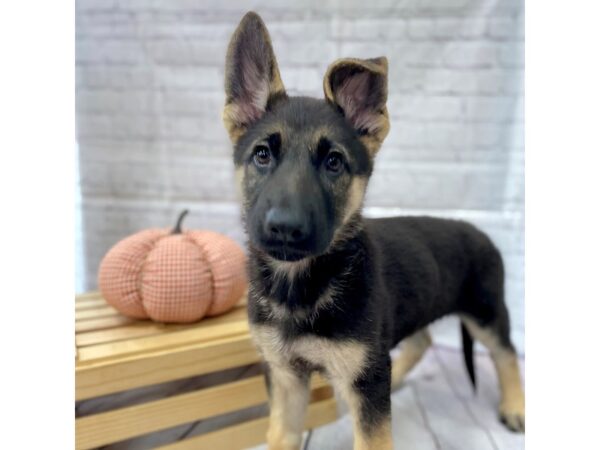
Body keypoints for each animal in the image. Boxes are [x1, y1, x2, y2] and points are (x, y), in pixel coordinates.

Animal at [221, 12, 524, 450]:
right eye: (262, 155)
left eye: (334, 162)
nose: (284, 229)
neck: (300, 286)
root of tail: (479, 233)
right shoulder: (286, 378)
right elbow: (282, 434)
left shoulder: (365, 380)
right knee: (423, 341)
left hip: (486, 312)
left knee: (506, 351)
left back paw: (515, 405)